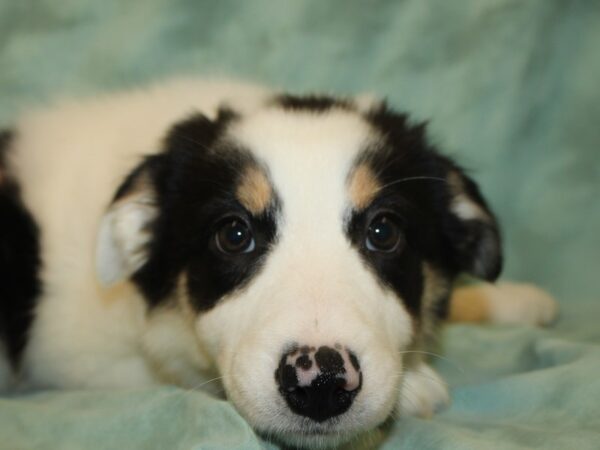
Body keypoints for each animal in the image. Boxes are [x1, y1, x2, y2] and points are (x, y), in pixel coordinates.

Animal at [0, 79, 556, 448]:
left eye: (384, 232)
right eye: (233, 234)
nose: (320, 383)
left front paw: (516, 300)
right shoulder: (79, 360)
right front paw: (414, 385)